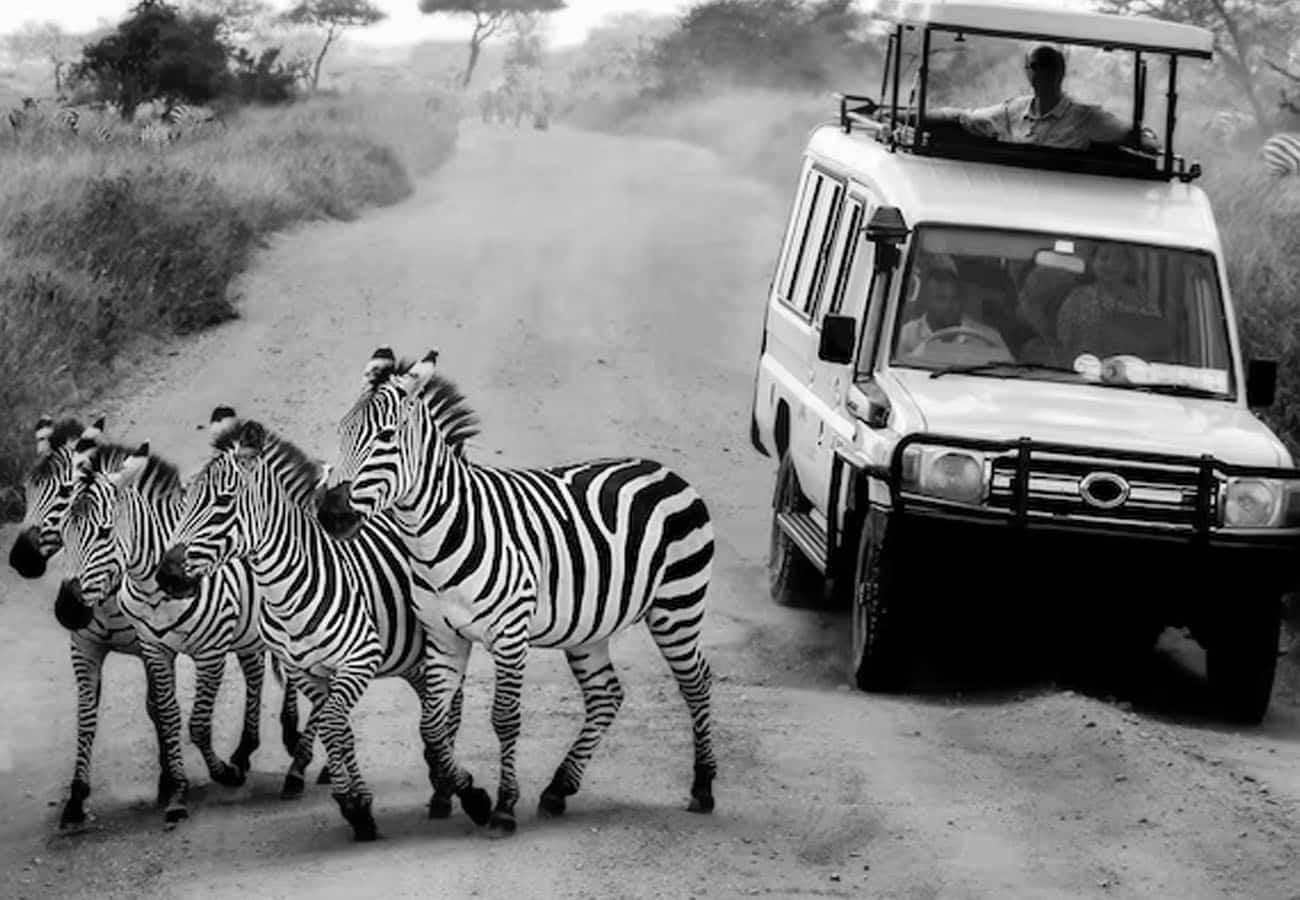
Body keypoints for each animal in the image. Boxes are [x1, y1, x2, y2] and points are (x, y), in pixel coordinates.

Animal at [156, 410, 483, 842]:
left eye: (223, 502)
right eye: (184, 500)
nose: (167, 575)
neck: (288, 588)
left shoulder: (358, 661)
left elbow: (331, 725)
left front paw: (353, 802)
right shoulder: (306, 671)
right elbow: (338, 731)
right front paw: (357, 806)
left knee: (450, 709)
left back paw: (449, 791)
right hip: (412, 658)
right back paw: (441, 783)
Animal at [317, 348, 722, 832]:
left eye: (385, 436)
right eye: (340, 431)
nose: (329, 513)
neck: (439, 533)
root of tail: (665, 470)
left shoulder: (510, 633)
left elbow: (504, 719)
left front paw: (503, 806)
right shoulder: (444, 636)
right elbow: (432, 725)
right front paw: (471, 794)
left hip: (677, 607)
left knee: (695, 682)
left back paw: (703, 787)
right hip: (591, 627)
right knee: (606, 694)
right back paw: (559, 788)